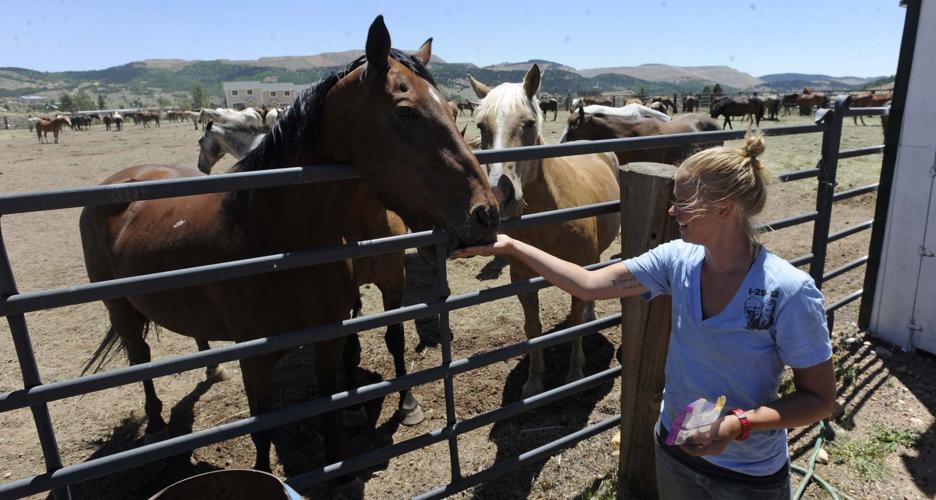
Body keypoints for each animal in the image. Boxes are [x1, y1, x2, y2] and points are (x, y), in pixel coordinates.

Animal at [78, 16, 499, 474]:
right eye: (405, 112)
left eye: (454, 110)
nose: (486, 212)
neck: (276, 238)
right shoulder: (255, 357)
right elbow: (263, 425)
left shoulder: (344, 321)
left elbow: (344, 384)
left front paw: (340, 461)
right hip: (119, 308)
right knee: (140, 359)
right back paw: (155, 428)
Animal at [468, 65, 620, 397]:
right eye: (481, 126)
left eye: (528, 123)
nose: (499, 196)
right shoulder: (522, 280)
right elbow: (533, 328)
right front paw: (534, 382)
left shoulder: (580, 268)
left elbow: (575, 322)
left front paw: (575, 374)